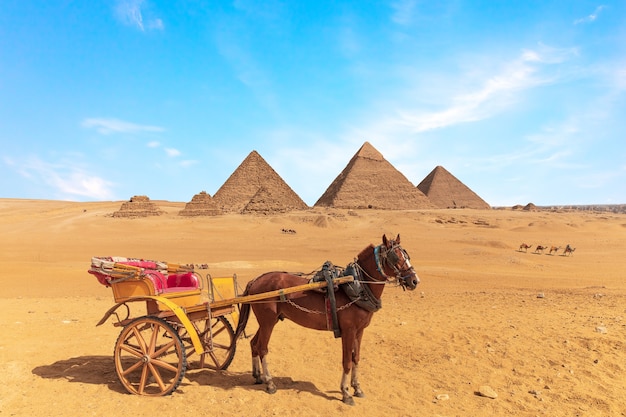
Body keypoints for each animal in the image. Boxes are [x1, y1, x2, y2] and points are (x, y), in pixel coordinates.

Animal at [232, 236, 416, 404]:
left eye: (406, 255)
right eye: (395, 258)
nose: (414, 280)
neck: (357, 286)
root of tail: (255, 280)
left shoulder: (359, 330)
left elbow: (356, 358)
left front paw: (357, 388)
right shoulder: (348, 331)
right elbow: (347, 361)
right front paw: (346, 393)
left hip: (267, 321)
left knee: (254, 343)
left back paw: (258, 376)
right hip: (268, 322)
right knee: (262, 348)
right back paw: (270, 383)